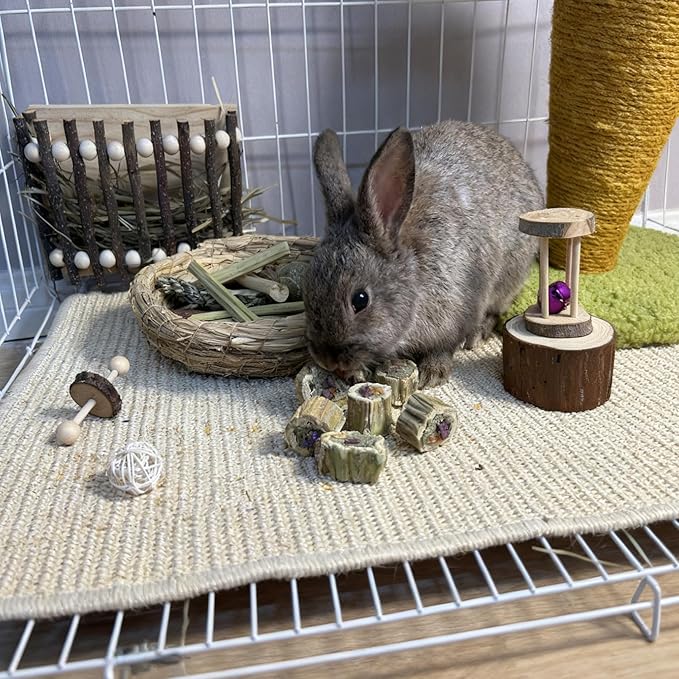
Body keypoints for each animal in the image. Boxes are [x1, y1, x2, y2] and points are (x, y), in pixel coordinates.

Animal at [305, 120, 544, 388]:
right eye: (306, 288)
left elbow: (444, 346)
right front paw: (356, 373)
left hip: (510, 277)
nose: (328, 359)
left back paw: (479, 332)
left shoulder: (459, 311)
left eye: (360, 300)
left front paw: (432, 374)